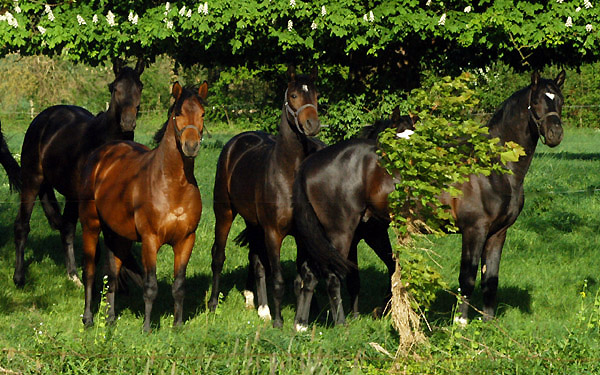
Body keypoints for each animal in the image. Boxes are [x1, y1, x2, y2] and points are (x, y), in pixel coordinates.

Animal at [13, 58, 145, 288]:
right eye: (115, 88)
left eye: (139, 87)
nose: (128, 123)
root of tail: (42, 118)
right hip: (32, 181)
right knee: (22, 225)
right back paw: (19, 277)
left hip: (70, 194)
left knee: (66, 228)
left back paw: (73, 275)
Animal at [78, 82, 207, 332]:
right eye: (178, 113)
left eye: (203, 114)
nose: (191, 146)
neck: (172, 185)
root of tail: (100, 155)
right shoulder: (150, 240)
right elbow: (150, 286)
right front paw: (147, 328)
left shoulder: (186, 240)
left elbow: (179, 286)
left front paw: (177, 325)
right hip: (91, 226)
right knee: (89, 272)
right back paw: (88, 319)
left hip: (118, 236)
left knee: (113, 273)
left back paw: (110, 319)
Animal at [207, 68, 322, 328]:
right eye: (293, 95)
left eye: (316, 94)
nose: (312, 124)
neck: (287, 175)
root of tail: (236, 142)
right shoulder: (273, 233)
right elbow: (278, 279)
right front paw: (279, 322)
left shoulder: (301, 236)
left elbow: (302, 279)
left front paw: (299, 322)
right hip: (225, 213)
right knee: (219, 256)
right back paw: (213, 305)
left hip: (253, 223)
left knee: (256, 260)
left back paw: (258, 305)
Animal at [292, 70, 564, 328]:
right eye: (537, 101)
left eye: (559, 100)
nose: (555, 134)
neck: (493, 167)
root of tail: (311, 163)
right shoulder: (474, 230)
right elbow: (467, 277)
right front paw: (460, 323)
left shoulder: (498, 233)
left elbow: (490, 279)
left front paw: (488, 323)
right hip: (340, 231)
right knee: (331, 276)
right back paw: (341, 324)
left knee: (309, 274)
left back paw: (301, 324)